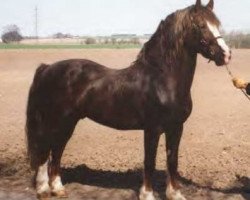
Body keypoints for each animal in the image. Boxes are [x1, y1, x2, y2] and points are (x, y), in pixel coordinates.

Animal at [26, 0, 231, 199]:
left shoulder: (176, 127)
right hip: (55, 121)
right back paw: (43, 190)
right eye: (201, 25)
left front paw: (175, 194)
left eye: (217, 24)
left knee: (57, 150)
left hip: (68, 122)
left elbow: (172, 160)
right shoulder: (152, 129)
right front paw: (147, 194)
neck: (162, 79)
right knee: (44, 150)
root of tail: (47, 68)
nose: (226, 55)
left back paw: (58, 189)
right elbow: (149, 161)